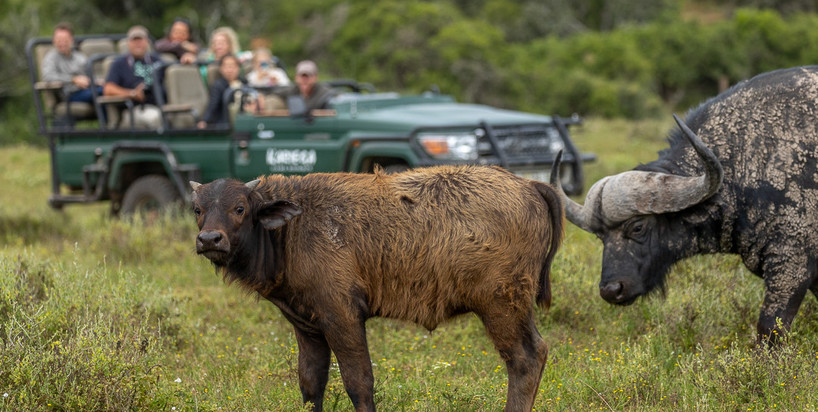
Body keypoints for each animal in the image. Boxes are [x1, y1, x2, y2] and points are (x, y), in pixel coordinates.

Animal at [190, 165, 560, 412]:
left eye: (240, 207)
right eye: (197, 209)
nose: (209, 239)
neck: (292, 228)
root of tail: (529, 185)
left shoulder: (343, 318)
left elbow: (359, 382)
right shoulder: (307, 327)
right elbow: (311, 384)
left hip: (502, 307)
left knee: (525, 359)